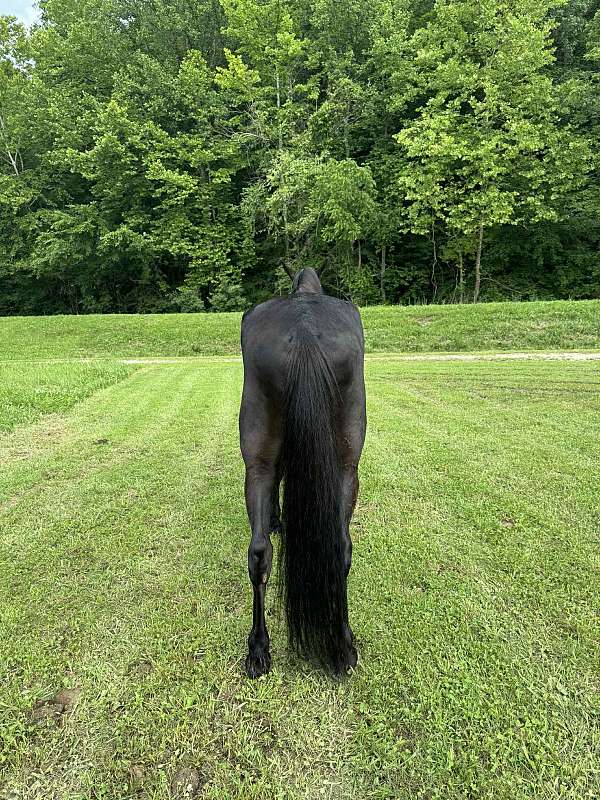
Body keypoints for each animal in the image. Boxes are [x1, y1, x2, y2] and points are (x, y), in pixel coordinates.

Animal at [239, 268, 366, 677]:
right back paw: (342, 643)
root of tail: (305, 331)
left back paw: (259, 649)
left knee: (260, 552)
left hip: (259, 458)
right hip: (348, 467)